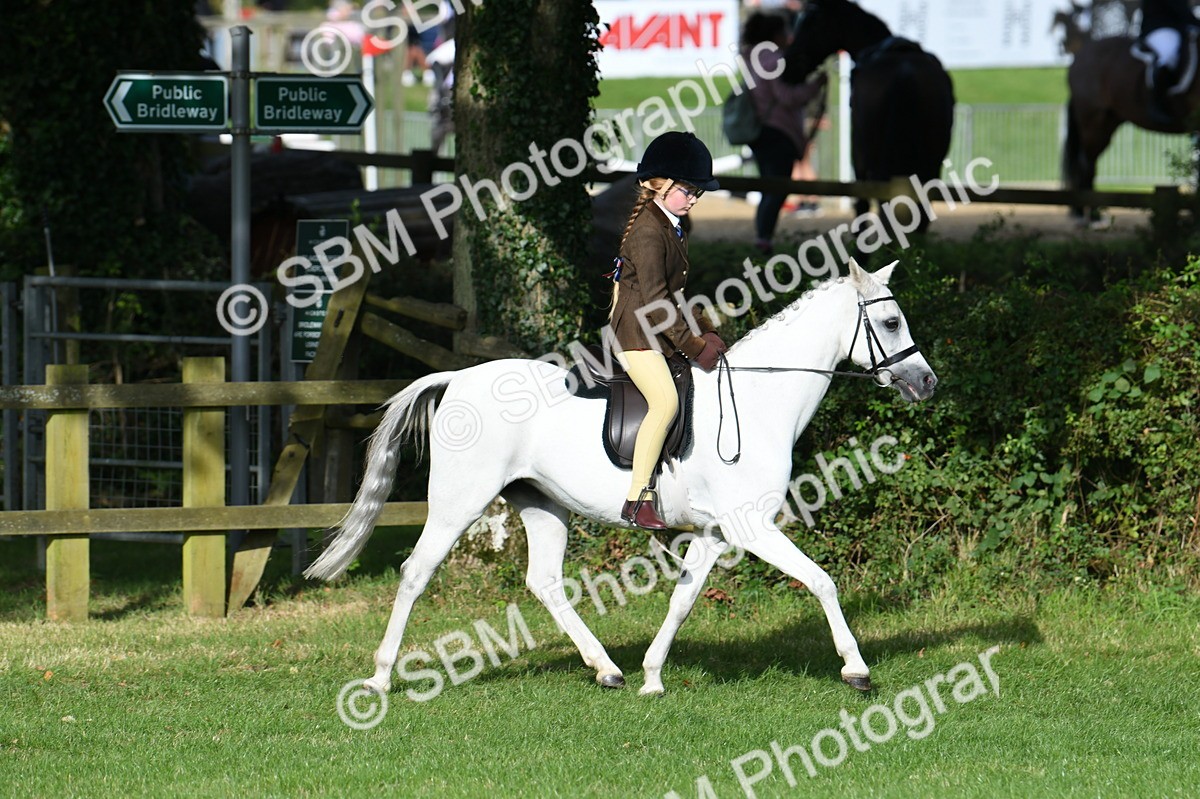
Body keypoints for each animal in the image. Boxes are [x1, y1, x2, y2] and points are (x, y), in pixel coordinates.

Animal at [305, 260, 938, 697]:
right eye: (889, 321)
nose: (927, 381)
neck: (761, 399)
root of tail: (457, 378)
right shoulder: (752, 527)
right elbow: (822, 581)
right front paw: (856, 669)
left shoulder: (715, 534)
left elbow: (682, 600)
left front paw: (652, 677)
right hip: (459, 502)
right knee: (416, 572)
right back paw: (381, 678)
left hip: (542, 505)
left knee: (545, 583)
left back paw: (607, 669)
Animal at [779, 0, 955, 232]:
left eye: (813, 22)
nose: (788, 66)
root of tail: (905, 74)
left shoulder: (859, 157)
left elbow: (862, 205)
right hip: (931, 160)